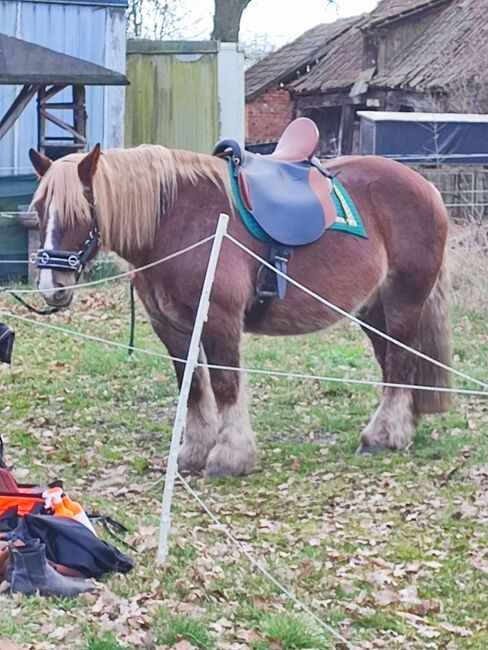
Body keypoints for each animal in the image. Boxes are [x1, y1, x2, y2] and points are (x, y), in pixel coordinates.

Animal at [28, 142, 452, 476]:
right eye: (39, 209)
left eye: (81, 210)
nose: (52, 287)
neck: (178, 223)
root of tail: (426, 187)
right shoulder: (172, 328)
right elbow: (192, 388)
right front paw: (193, 453)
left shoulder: (220, 321)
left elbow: (225, 386)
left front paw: (230, 457)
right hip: (372, 310)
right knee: (394, 364)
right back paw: (404, 426)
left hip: (403, 300)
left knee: (400, 361)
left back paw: (384, 435)